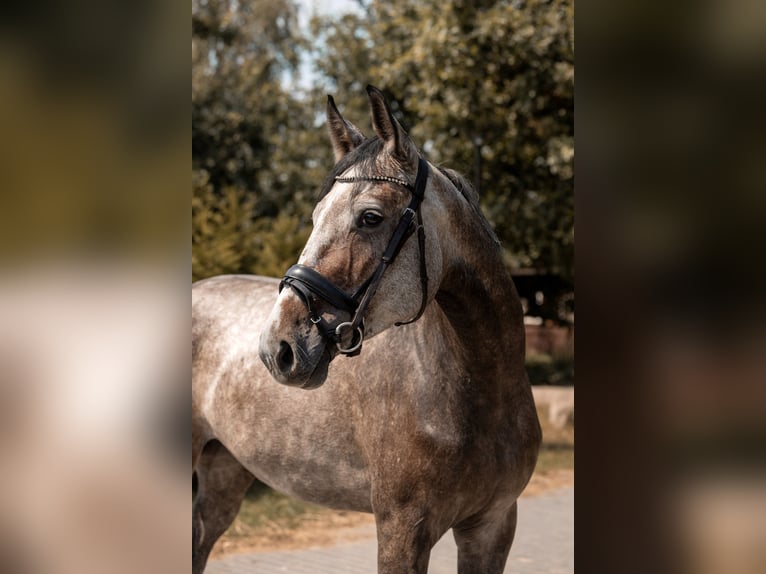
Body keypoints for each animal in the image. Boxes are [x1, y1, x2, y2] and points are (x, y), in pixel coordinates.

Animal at [192, 85, 541, 573]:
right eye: (316, 215)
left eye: (371, 217)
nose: (277, 348)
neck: (481, 389)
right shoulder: (403, 530)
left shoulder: (493, 527)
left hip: (224, 473)